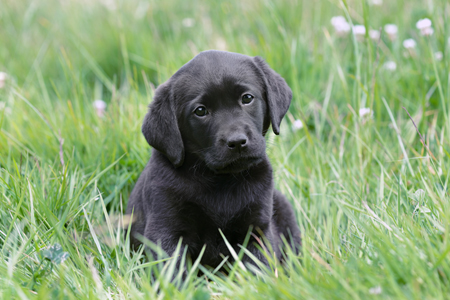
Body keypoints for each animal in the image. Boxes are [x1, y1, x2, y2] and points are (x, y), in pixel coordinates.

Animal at [126, 50, 300, 268]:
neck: (220, 180)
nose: (237, 141)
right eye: (200, 111)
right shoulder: (164, 230)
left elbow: (257, 265)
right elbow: (173, 270)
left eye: (247, 98)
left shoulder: (257, 230)